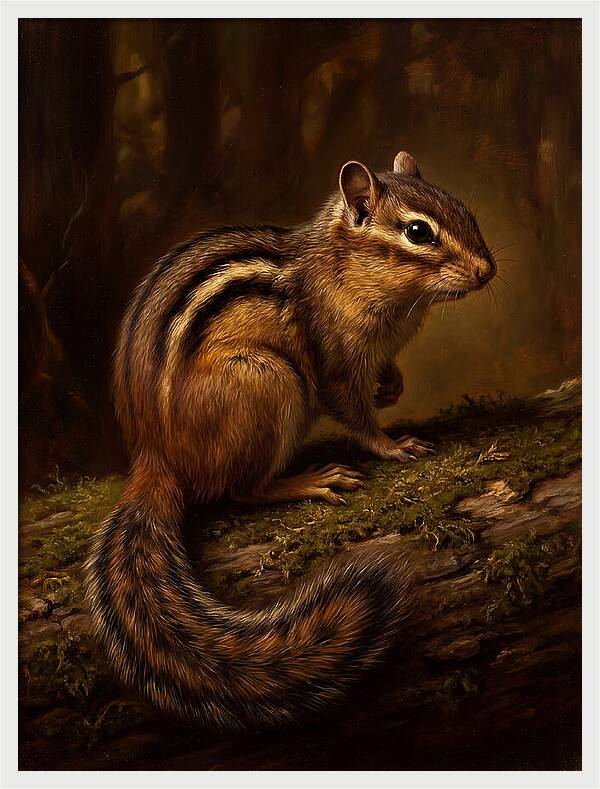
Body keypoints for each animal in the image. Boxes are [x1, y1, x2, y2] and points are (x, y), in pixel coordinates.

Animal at [85, 150, 496, 729]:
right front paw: (393, 445)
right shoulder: (335, 361)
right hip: (269, 382)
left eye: (465, 210)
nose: (488, 270)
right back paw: (311, 480)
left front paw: (392, 386)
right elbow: (354, 412)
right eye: (418, 232)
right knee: (241, 490)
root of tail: (155, 457)